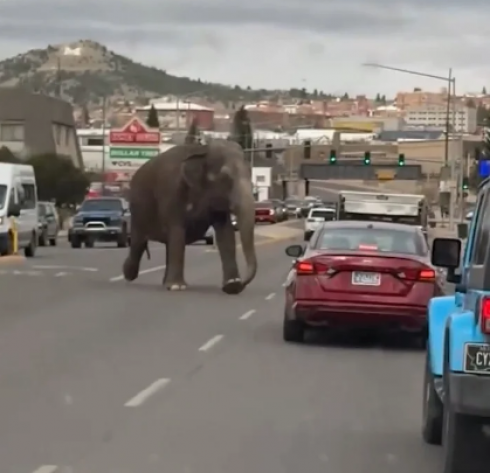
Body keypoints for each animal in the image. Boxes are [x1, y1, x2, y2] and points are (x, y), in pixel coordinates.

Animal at [122, 136, 258, 294]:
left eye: (250, 173)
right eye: (226, 177)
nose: (242, 283)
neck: (202, 149)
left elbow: (225, 232)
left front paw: (232, 284)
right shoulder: (171, 192)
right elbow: (177, 230)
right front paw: (177, 287)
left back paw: (164, 282)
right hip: (138, 210)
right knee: (139, 242)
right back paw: (129, 274)